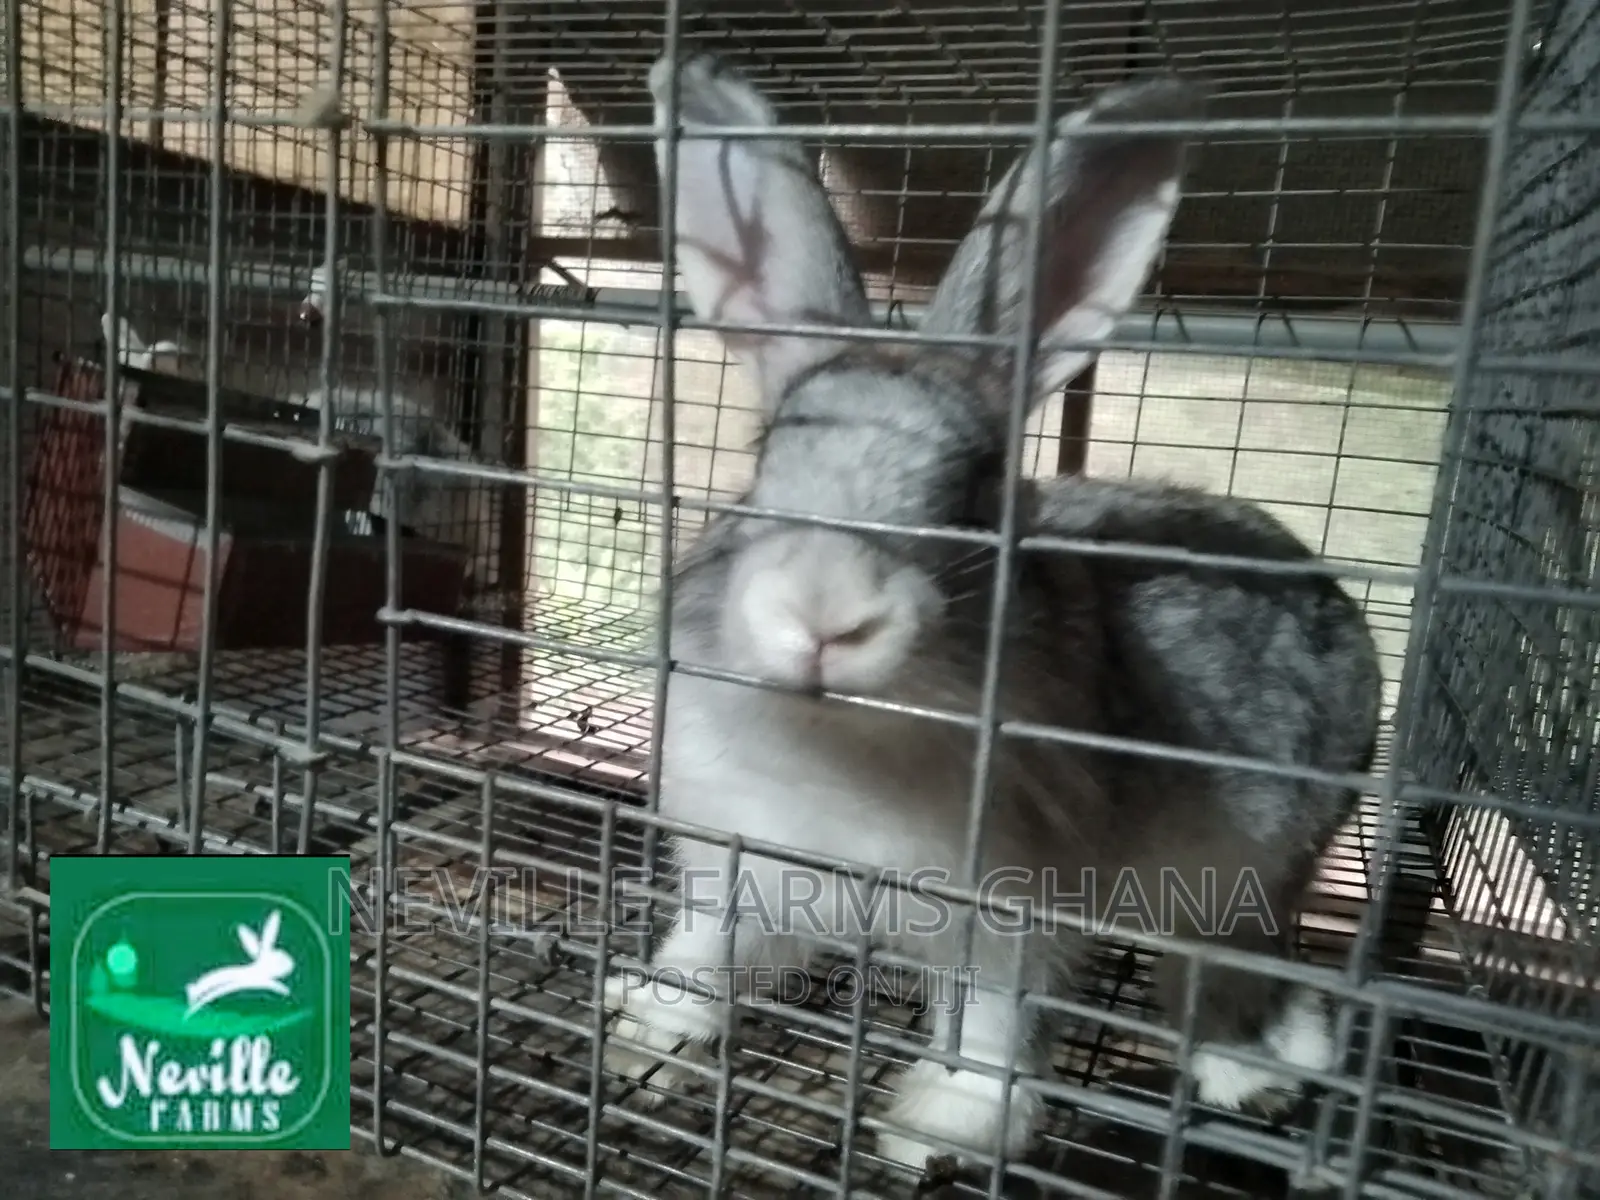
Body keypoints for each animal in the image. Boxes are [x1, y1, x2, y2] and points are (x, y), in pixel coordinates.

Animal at [599, 52, 1383, 1172]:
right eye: (763, 459)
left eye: (974, 491)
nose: (825, 613)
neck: (842, 744)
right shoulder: (738, 866)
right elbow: (703, 954)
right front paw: (646, 1034)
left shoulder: (1009, 916)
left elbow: (992, 1029)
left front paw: (937, 1130)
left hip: (1247, 869)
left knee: (1232, 975)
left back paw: (1255, 1076)